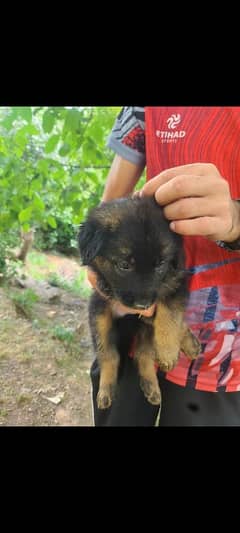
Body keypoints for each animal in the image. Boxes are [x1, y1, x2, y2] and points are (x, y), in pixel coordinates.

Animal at [79, 195, 201, 408]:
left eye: (160, 264)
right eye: (124, 265)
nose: (143, 305)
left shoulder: (176, 283)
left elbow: (171, 316)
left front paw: (168, 351)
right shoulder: (100, 302)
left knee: (143, 354)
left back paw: (152, 384)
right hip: (101, 317)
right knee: (110, 354)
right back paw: (106, 390)